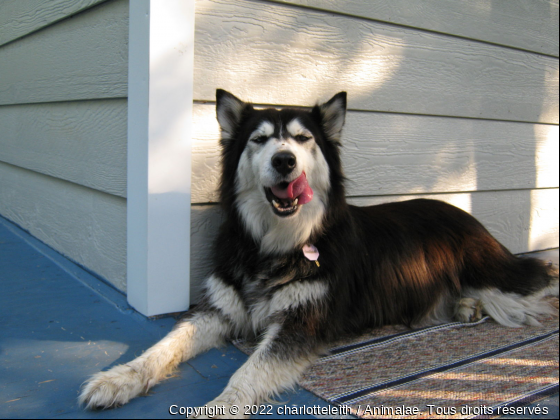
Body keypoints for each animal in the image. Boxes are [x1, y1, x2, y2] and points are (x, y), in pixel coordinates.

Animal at [80, 90, 560, 416]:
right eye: (259, 140)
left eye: (302, 138)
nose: (285, 161)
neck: (278, 243)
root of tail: (462, 212)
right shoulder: (217, 310)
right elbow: (162, 346)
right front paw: (119, 378)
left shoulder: (300, 324)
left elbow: (247, 371)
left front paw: (218, 408)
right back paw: (464, 307)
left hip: (493, 273)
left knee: (541, 279)